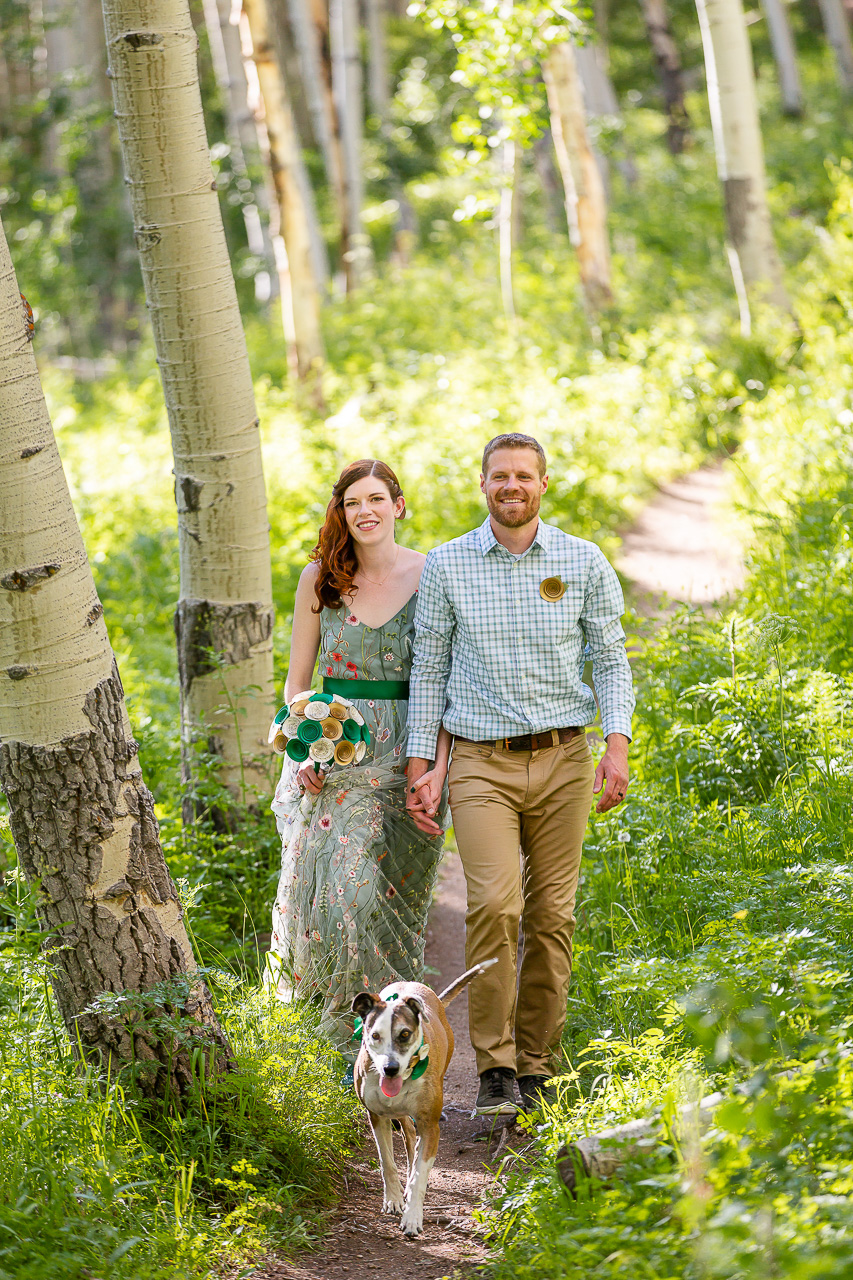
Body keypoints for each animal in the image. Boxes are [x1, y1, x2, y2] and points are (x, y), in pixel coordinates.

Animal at [350, 962, 494, 1239]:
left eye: (405, 1034)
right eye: (375, 1035)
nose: (390, 1068)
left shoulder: (430, 1125)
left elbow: (420, 1174)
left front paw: (412, 1217)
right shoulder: (377, 1117)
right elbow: (387, 1162)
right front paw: (393, 1199)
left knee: (414, 1144)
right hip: (397, 1113)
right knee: (407, 1132)